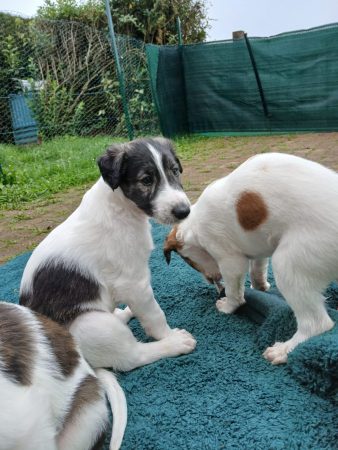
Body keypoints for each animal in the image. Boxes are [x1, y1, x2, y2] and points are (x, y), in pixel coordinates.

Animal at [20, 137, 195, 372]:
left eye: (175, 171)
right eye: (146, 180)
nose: (184, 212)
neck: (122, 206)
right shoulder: (134, 283)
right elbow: (155, 315)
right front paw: (168, 335)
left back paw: (125, 312)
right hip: (93, 325)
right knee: (132, 357)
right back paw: (175, 344)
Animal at [164, 153, 336, 364]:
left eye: (188, 261)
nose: (213, 281)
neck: (194, 224)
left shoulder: (230, 261)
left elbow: (234, 292)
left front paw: (228, 306)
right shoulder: (259, 249)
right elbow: (257, 270)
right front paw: (261, 288)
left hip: (288, 263)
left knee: (317, 324)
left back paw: (284, 350)